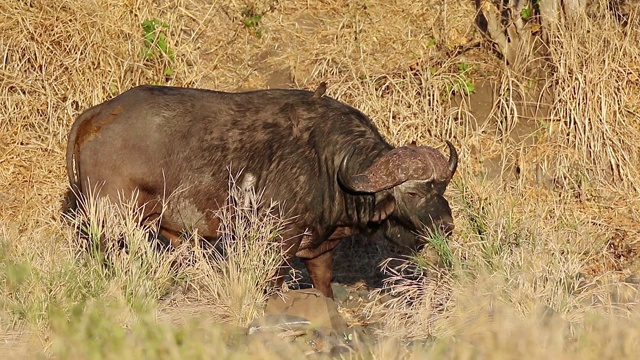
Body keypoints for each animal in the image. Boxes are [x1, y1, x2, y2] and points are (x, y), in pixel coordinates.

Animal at [67, 84, 458, 298]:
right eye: (412, 193)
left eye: (441, 186)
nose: (446, 226)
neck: (331, 166)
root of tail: (95, 115)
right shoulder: (277, 241)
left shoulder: (320, 248)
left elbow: (324, 285)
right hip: (114, 222)